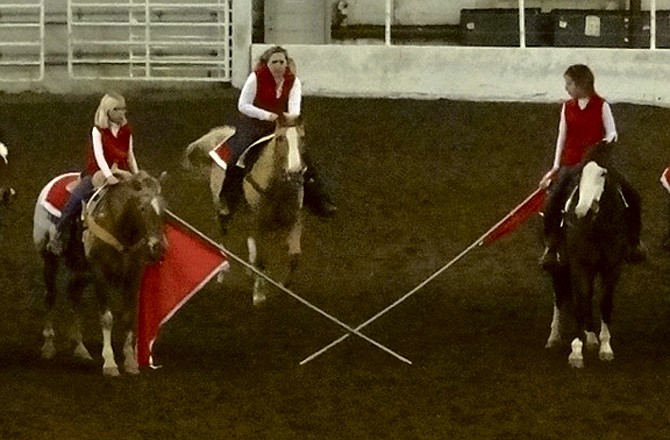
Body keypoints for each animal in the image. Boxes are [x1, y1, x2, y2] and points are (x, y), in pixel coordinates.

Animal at [33, 170, 168, 376]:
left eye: (163, 210)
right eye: (142, 208)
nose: (158, 248)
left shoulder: (133, 275)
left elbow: (128, 316)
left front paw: (130, 362)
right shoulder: (100, 273)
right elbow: (107, 318)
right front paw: (110, 363)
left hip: (82, 268)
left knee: (74, 294)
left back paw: (80, 347)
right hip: (49, 258)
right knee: (50, 296)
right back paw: (48, 347)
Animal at [186, 118, 308, 308]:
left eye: (302, 137)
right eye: (280, 138)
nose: (295, 172)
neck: (277, 188)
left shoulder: (294, 220)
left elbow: (294, 256)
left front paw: (283, 287)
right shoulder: (260, 223)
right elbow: (262, 260)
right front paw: (258, 294)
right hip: (224, 210)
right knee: (224, 236)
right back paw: (223, 271)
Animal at [544, 144, 632, 368]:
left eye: (603, 173)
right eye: (580, 176)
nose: (580, 209)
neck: (597, 227)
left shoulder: (612, 266)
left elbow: (604, 302)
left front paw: (605, 347)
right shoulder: (578, 265)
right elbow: (579, 302)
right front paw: (576, 353)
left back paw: (591, 338)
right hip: (559, 266)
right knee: (559, 297)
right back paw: (553, 337)